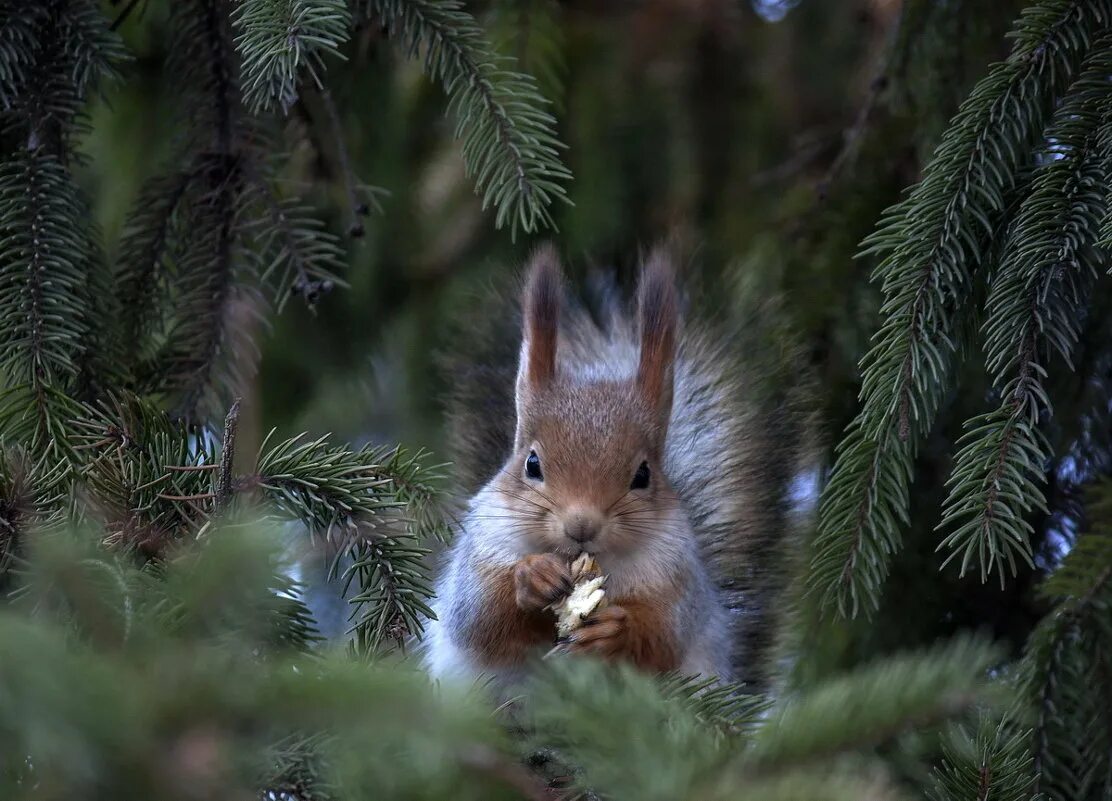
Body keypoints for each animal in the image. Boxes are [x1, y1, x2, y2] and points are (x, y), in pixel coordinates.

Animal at [424, 245, 809, 689]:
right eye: (532, 464)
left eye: (642, 475)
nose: (582, 526)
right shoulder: (482, 549)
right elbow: (480, 616)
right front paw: (532, 576)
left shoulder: (676, 580)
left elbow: (660, 637)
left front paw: (614, 631)